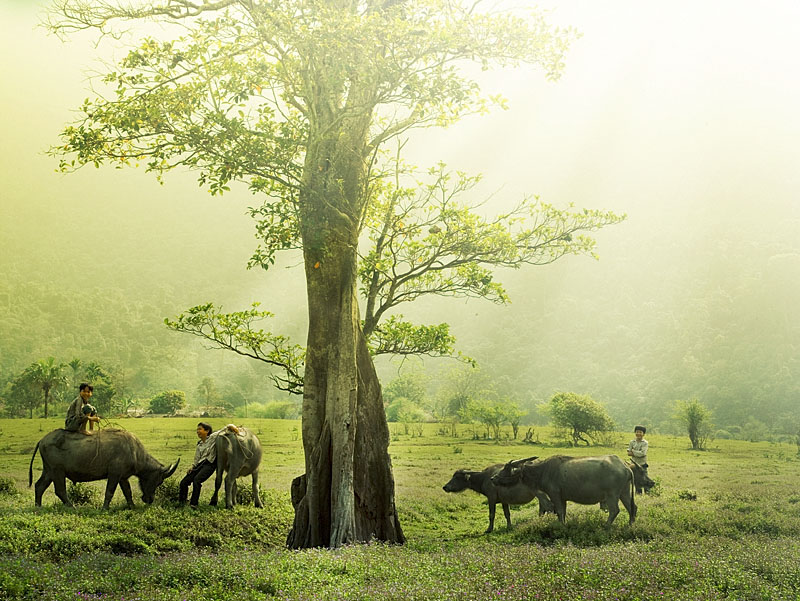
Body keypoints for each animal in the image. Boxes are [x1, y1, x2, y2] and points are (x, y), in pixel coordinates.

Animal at [28, 426, 180, 506]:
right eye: (158, 481)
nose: (150, 500)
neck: (134, 451)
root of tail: (42, 440)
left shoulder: (122, 477)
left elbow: (128, 492)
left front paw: (132, 506)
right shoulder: (114, 474)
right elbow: (109, 492)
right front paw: (104, 508)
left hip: (49, 471)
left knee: (39, 486)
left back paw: (38, 506)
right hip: (57, 471)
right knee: (60, 490)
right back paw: (72, 506)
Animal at [490, 454, 636, 524]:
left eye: (506, 468)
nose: (493, 478)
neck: (543, 471)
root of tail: (625, 467)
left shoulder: (554, 495)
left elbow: (559, 512)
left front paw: (562, 526)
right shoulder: (563, 498)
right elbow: (563, 512)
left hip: (612, 495)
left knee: (615, 510)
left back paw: (606, 526)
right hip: (624, 492)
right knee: (632, 507)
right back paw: (630, 525)